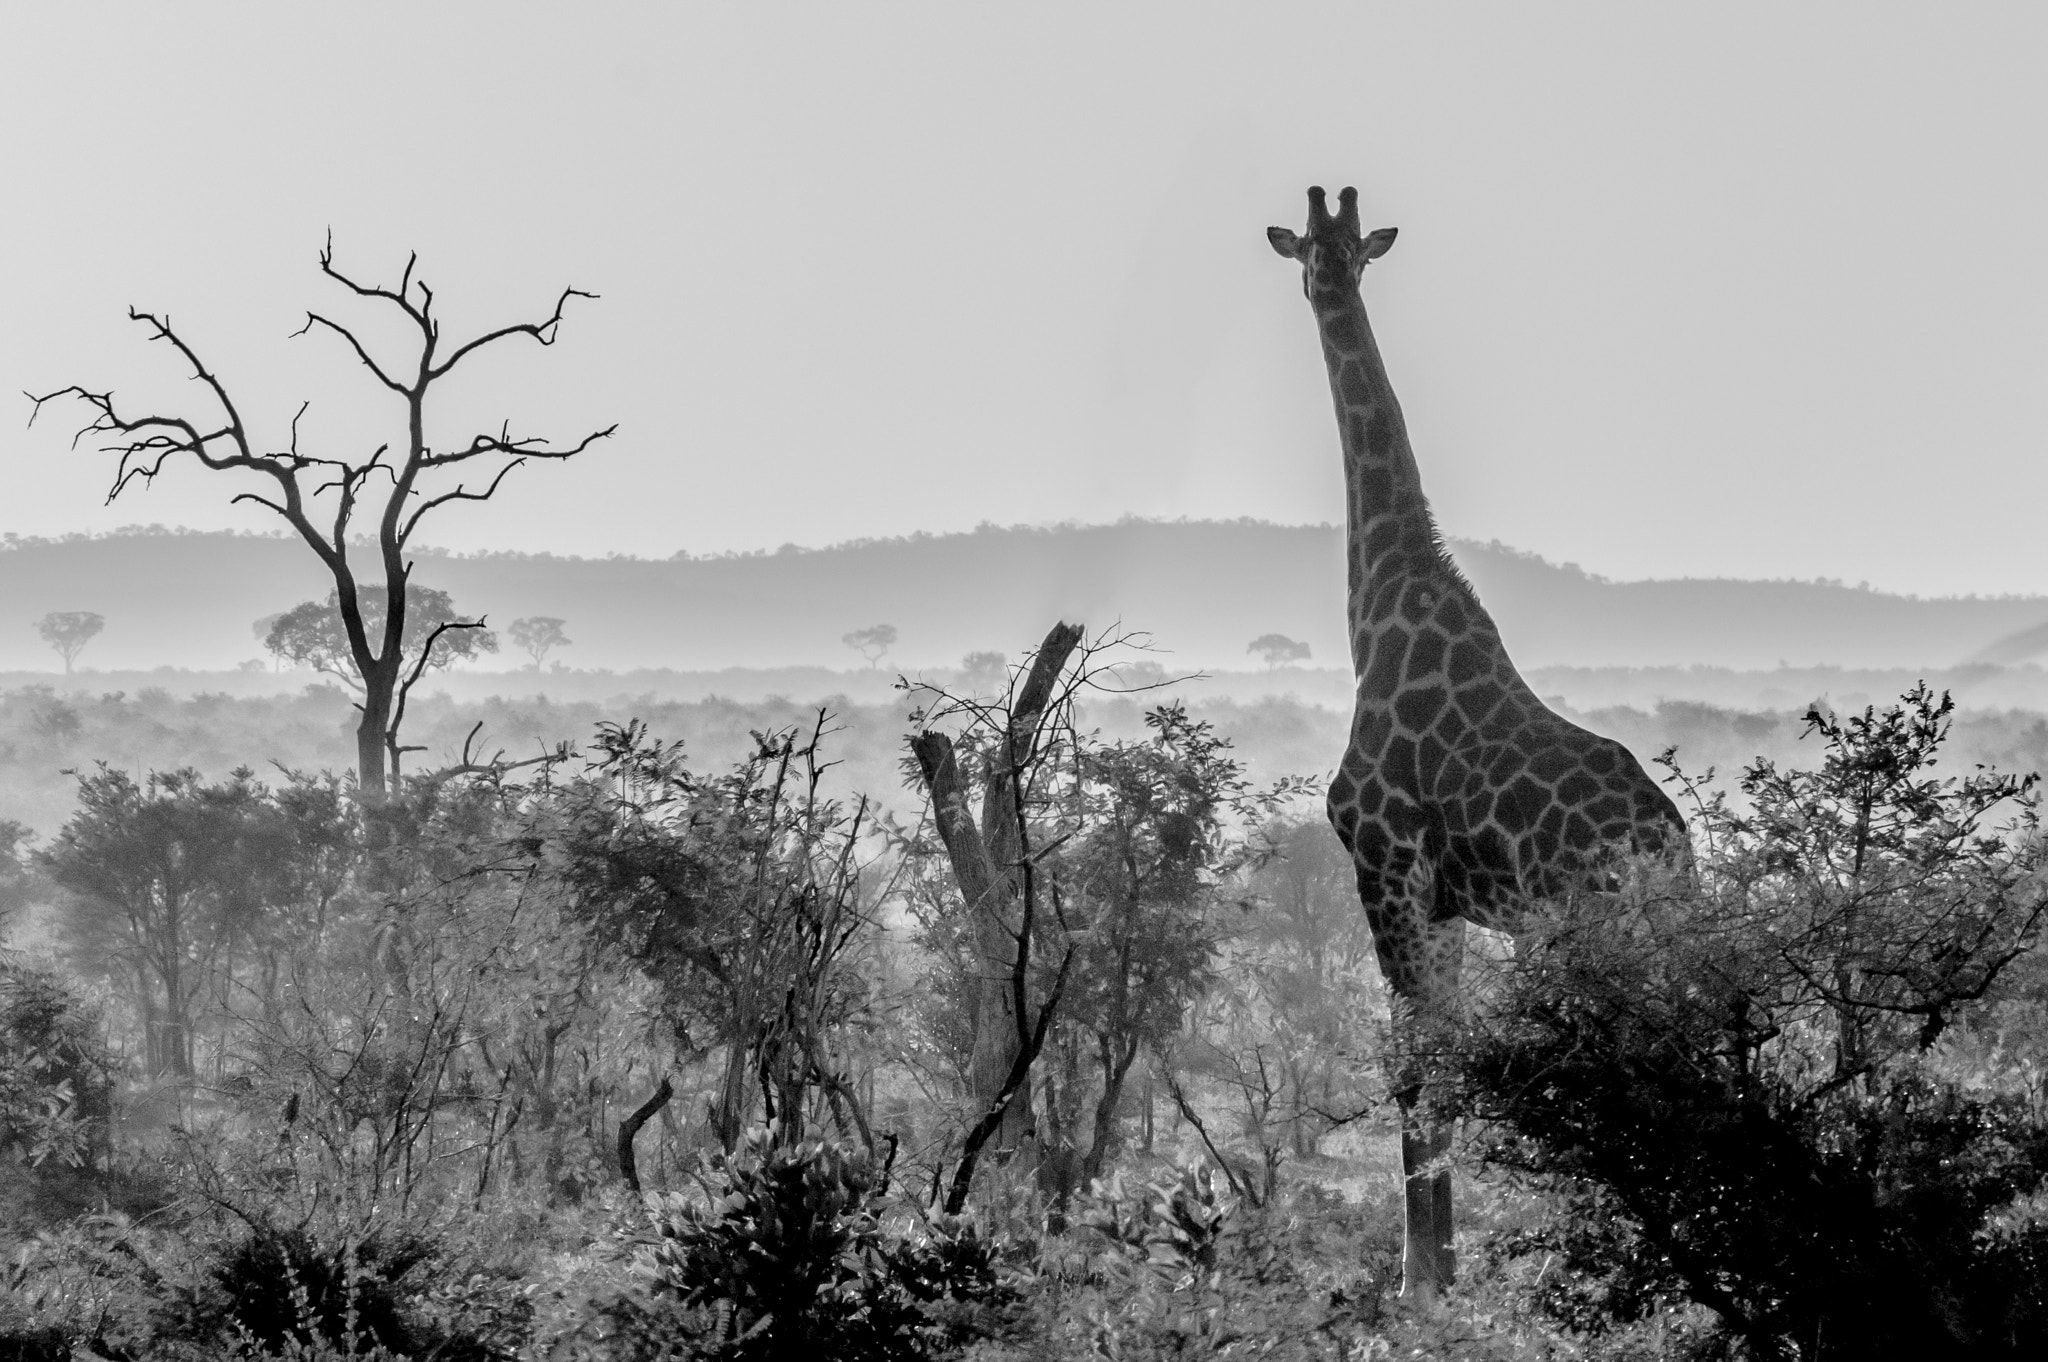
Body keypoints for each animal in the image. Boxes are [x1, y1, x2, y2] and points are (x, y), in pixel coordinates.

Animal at [1269, 191, 1687, 1310]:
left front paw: (1419, 1285)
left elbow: (1418, 1071)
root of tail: (1671, 847)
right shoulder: (1446, 899)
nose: (1324, 279)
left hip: (1588, 935)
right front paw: (1445, 1272)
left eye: (1336, 251)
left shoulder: (1383, 864)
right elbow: (1446, 1065)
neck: (1376, 604)